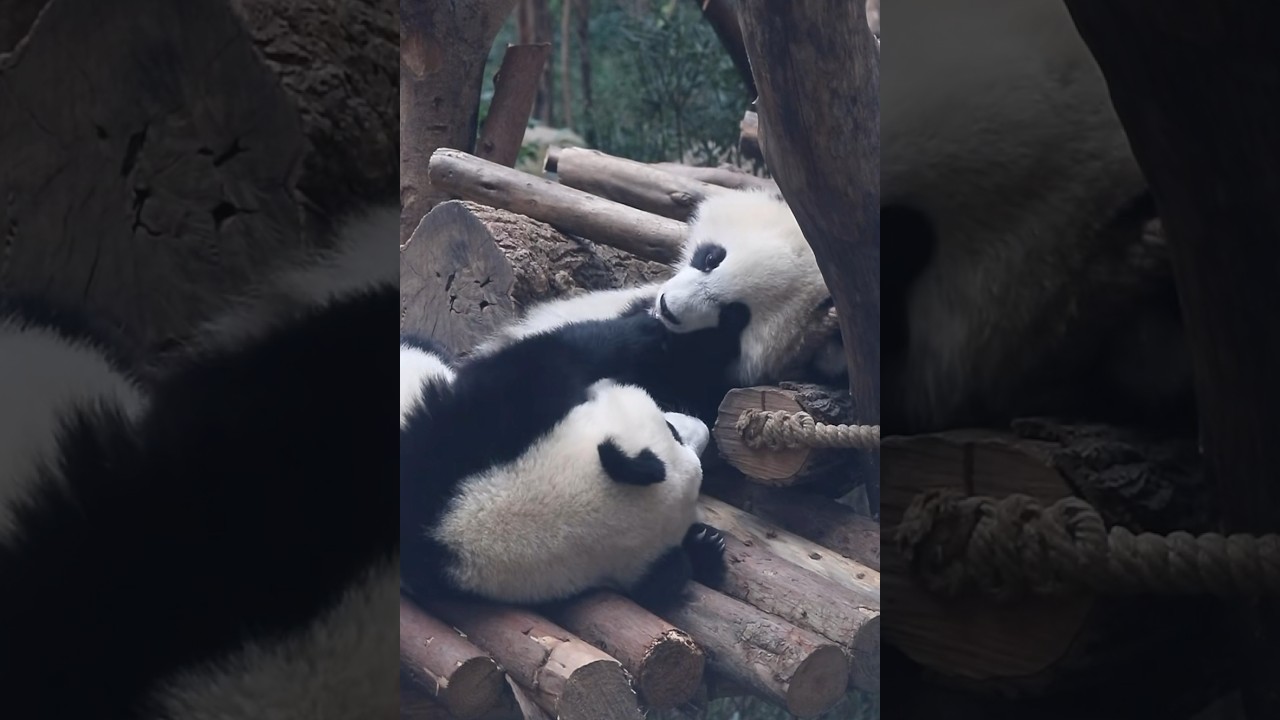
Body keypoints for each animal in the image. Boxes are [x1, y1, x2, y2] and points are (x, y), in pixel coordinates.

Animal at [399, 316, 727, 611]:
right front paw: (650, 330)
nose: (704, 430)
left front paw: (706, 546)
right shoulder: (477, 435)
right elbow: (549, 357)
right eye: (673, 433)